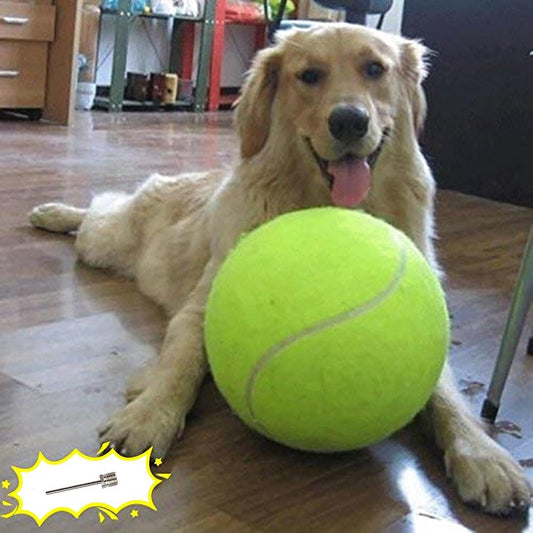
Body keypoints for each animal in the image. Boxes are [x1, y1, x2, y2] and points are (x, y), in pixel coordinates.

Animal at [31, 23, 528, 512]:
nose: (349, 120)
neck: (329, 206)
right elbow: (181, 365)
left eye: (374, 69)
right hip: (106, 240)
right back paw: (53, 212)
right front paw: (149, 413)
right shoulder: (199, 310)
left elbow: (447, 397)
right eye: (308, 76)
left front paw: (485, 456)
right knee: (98, 208)